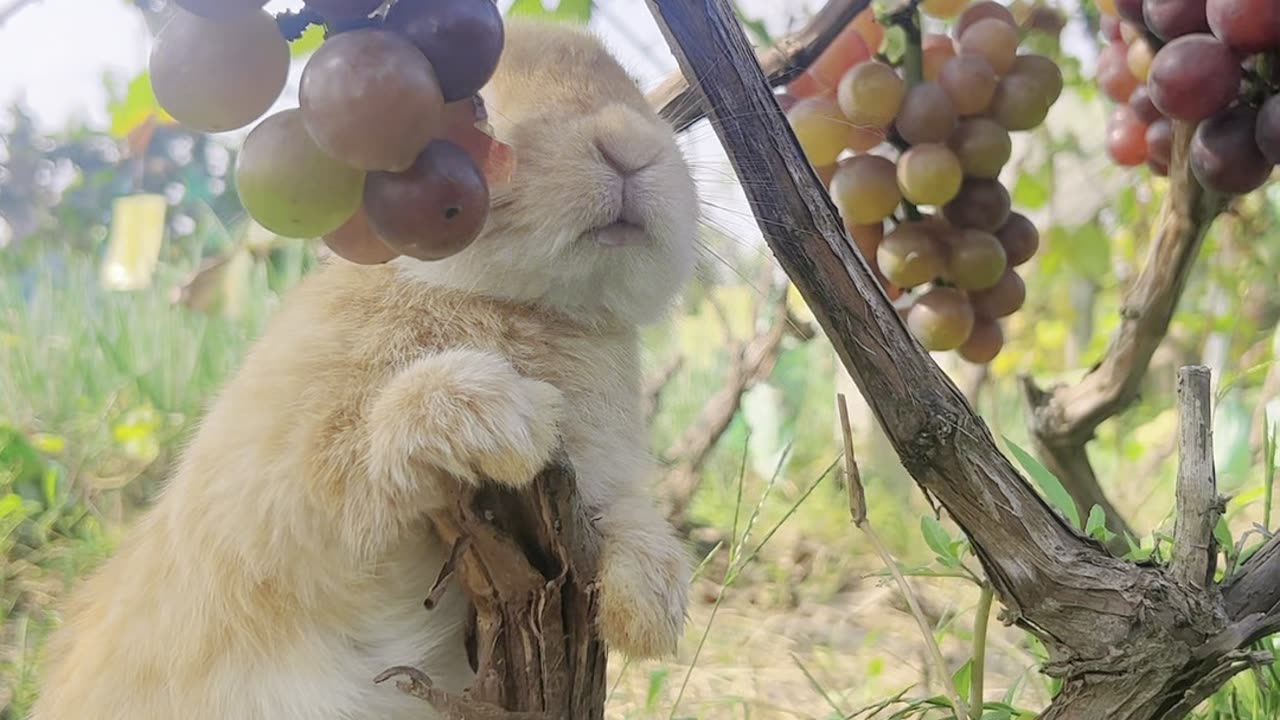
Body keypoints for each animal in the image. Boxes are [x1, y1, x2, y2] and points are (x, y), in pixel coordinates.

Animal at [35, 18, 701, 717]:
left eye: (634, 92)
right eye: (479, 106)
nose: (629, 147)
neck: (516, 303)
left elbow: (627, 518)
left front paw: (651, 608)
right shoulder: (268, 516)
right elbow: (348, 460)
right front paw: (512, 419)